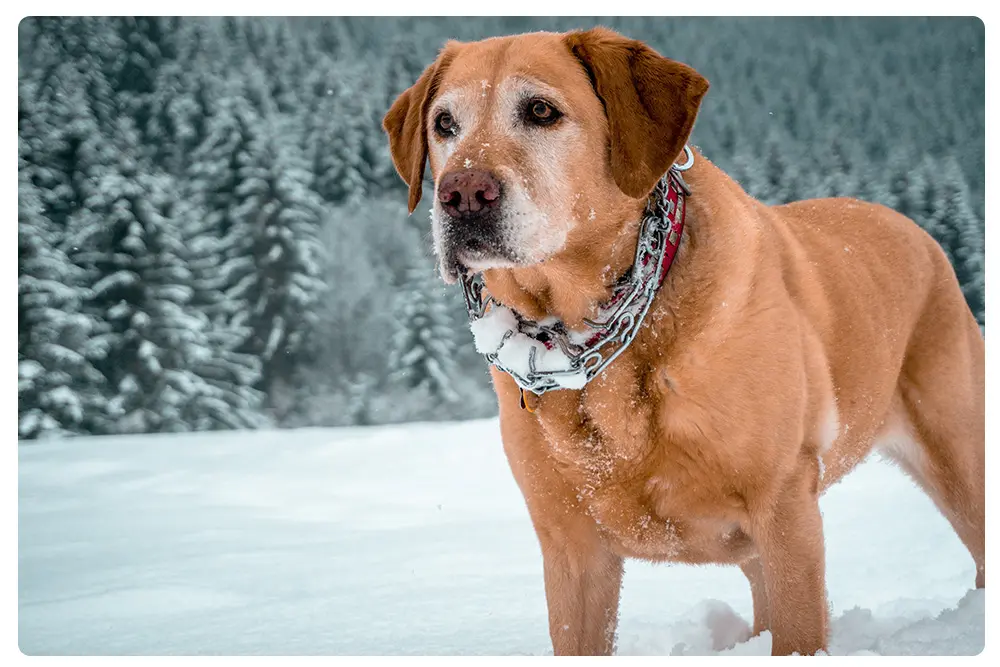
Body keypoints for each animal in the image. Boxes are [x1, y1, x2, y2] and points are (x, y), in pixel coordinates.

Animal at [382, 27, 984, 656]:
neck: (593, 345)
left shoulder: (785, 507)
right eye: (444, 124)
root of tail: (912, 227)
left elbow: (799, 627)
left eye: (541, 111)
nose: (462, 194)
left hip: (957, 454)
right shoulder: (570, 548)